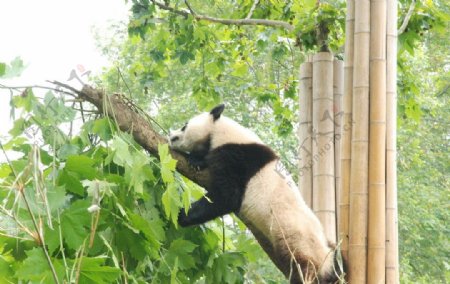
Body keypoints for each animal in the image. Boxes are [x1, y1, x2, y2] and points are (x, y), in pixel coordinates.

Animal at [168, 105, 344, 284]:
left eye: (184, 126)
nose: (171, 136)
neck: (221, 131)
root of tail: (325, 262)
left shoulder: (236, 156)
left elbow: (227, 197)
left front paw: (182, 214)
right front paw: (197, 160)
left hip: (299, 243)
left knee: (301, 267)